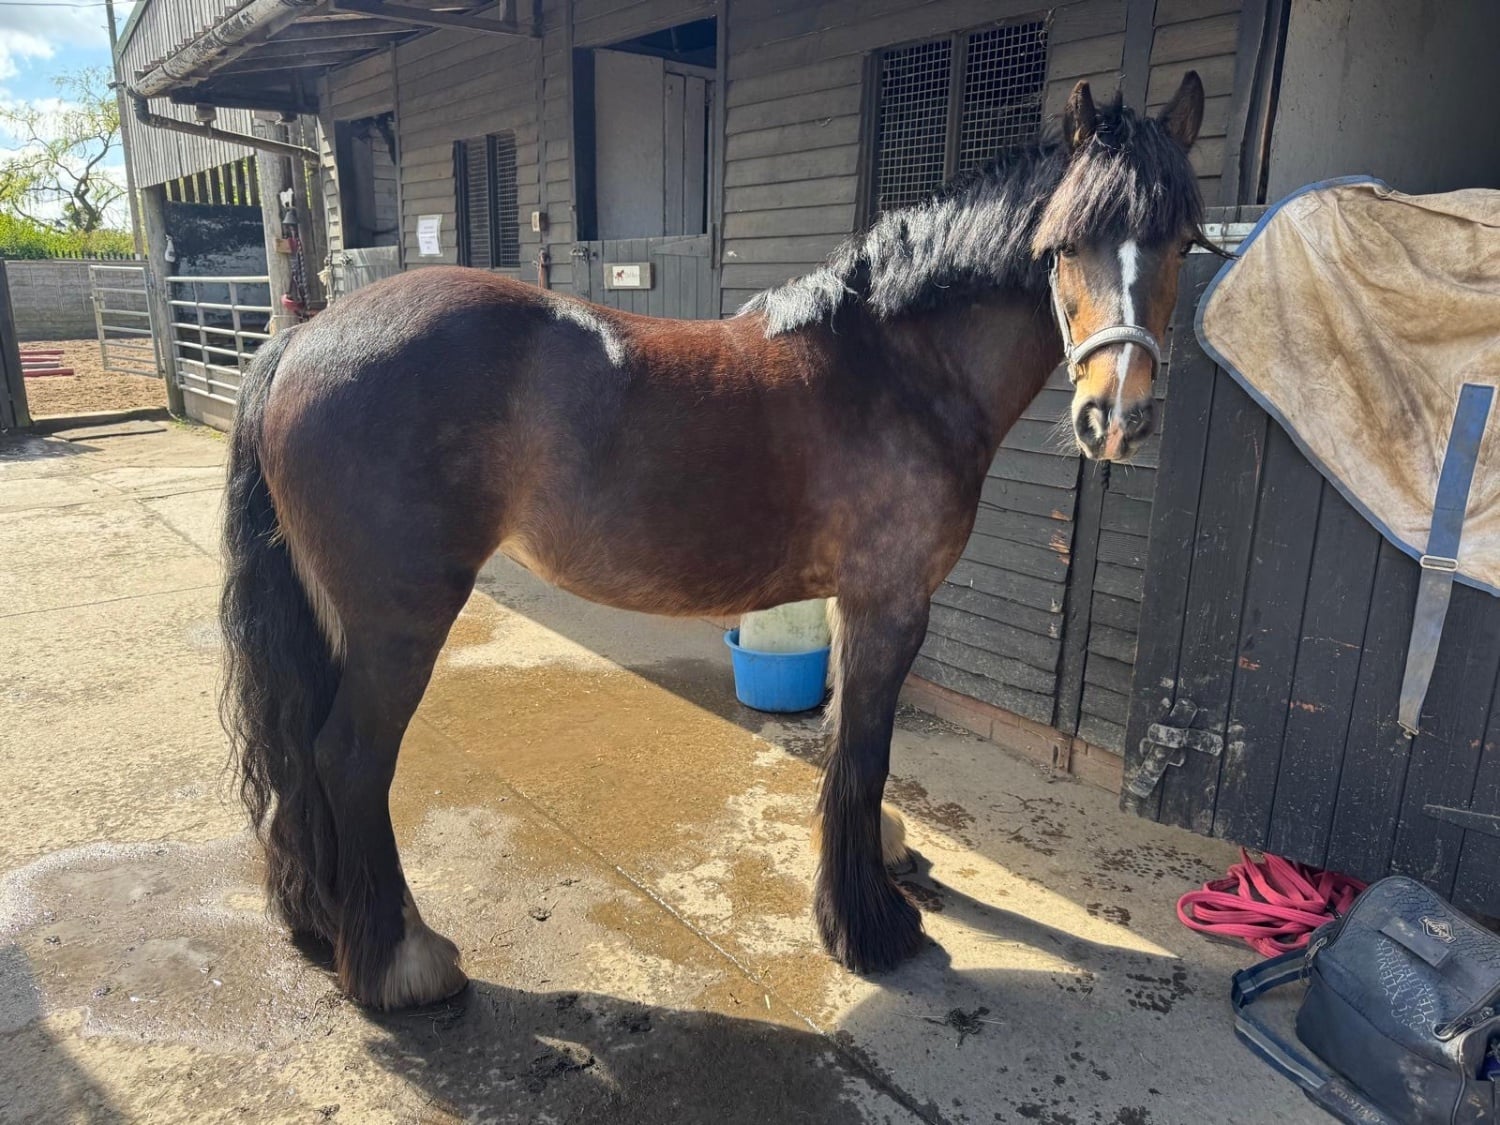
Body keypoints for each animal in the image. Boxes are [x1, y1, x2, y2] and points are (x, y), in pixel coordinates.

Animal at [221, 74, 1206, 1010]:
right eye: (1064, 244)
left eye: (1184, 241)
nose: (1116, 416)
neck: (898, 366)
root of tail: (300, 340)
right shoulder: (891, 602)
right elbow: (865, 752)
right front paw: (869, 925)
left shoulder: (855, 602)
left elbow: (849, 738)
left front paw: (879, 859)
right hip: (401, 620)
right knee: (351, 758)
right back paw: (403, 962)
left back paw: (324, 922)